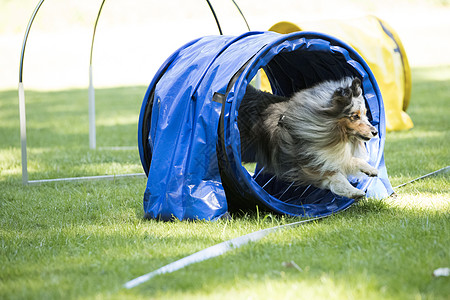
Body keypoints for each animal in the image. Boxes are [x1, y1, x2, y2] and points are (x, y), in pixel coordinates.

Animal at [237, 77, 378, 199]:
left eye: (365, 114)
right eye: (355, 116)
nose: (375, 132)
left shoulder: (323, 154)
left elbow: (349, 160)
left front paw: (371, 169)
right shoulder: (307, 163)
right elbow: (336, 176)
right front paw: (354, 191)